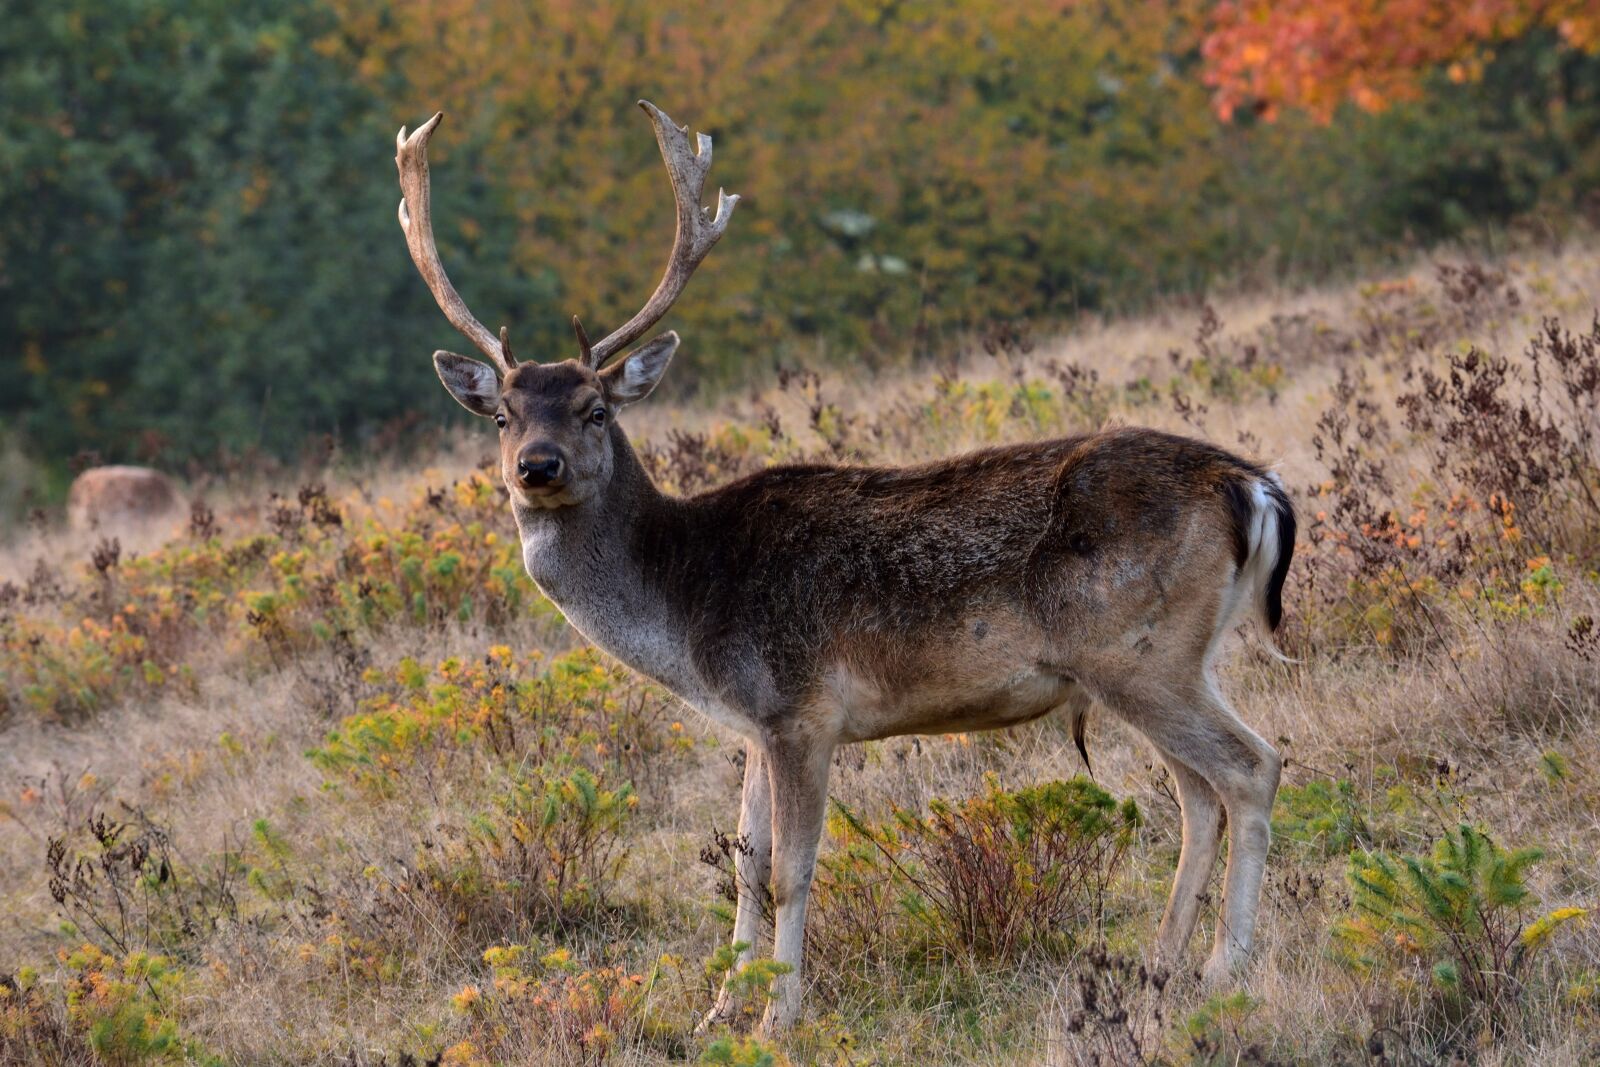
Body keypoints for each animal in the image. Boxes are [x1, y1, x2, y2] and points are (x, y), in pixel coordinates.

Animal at [396, 101, 1296, 1035]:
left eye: (595, 409)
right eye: (502, 414)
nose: (536, 466)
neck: (686, 607)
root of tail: (1254, 484)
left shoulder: (803, 707)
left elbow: (790, 869)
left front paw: (776, 1015)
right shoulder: (755, 721)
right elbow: (745, 863)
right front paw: (719, 1011)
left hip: (1139, 653)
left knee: (1251, 767)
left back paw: (1226, 968)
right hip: (1167, 660)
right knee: (1199, 794)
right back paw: (1160, 967)